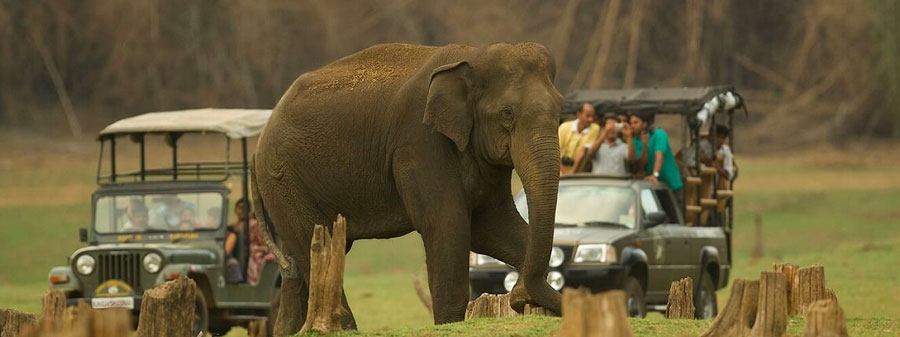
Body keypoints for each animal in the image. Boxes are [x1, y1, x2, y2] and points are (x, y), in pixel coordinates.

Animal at [251, 42, 564, 334]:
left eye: (561, 109)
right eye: (507, 113)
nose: (519, 298)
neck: (475, 55)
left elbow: (494, 228)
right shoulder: (419, 144)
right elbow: (447, 226)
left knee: (296, 266)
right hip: (283, 176)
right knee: (313, 245)